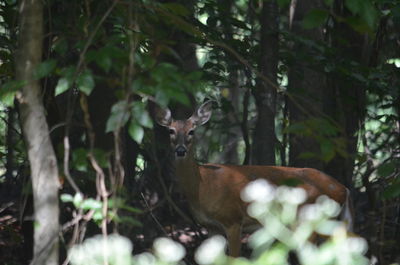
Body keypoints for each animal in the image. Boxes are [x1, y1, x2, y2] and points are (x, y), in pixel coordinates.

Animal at [153, 99, 354, 256]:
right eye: (171, 130)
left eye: (191, 132)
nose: (180, 150)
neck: (202, 186)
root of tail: (344, 189)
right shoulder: (210, 226)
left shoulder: (233, 219)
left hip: (309, 219)